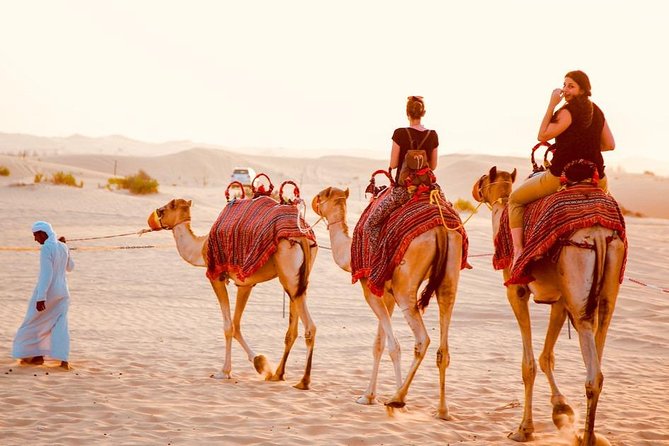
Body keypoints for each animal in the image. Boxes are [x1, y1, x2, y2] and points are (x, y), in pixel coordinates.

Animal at [147, 198, 317, 389]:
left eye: (166, 209)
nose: (154, 214)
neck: (201, 247)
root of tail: (302, 237)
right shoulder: (245, 284)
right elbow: (236, 325)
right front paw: (259, 363)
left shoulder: (216, 276)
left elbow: (228, 326)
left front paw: (224, 372)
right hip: (298, 280)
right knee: (292, 330)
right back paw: (278, 374)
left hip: (289, 273)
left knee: (310, 327)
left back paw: (303, 381)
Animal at [312, 187, 462, 419]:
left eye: (321, 196)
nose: (311, 201)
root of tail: (441, 231)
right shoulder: (387, 295)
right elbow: (378, 344)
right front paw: (367, 396)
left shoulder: (370, 290)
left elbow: (393, 346)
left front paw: (393, 401)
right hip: (450, 275)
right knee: (443, 344)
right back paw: (442, 411)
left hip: (405, 288)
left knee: (422, 339)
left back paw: (397, 398)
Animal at [472, 167, 625, 445]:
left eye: (483, 178)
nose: (474, 188)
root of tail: (599, 233)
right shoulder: (560, 301)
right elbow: (547, 357)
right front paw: (561, 410)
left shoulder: (517, 292)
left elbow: (529, 365)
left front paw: (524, 429)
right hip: (606, 288)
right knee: (599, 352)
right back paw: (589, 435)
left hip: (576, 273)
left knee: (592, 373)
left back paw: (586, 437)